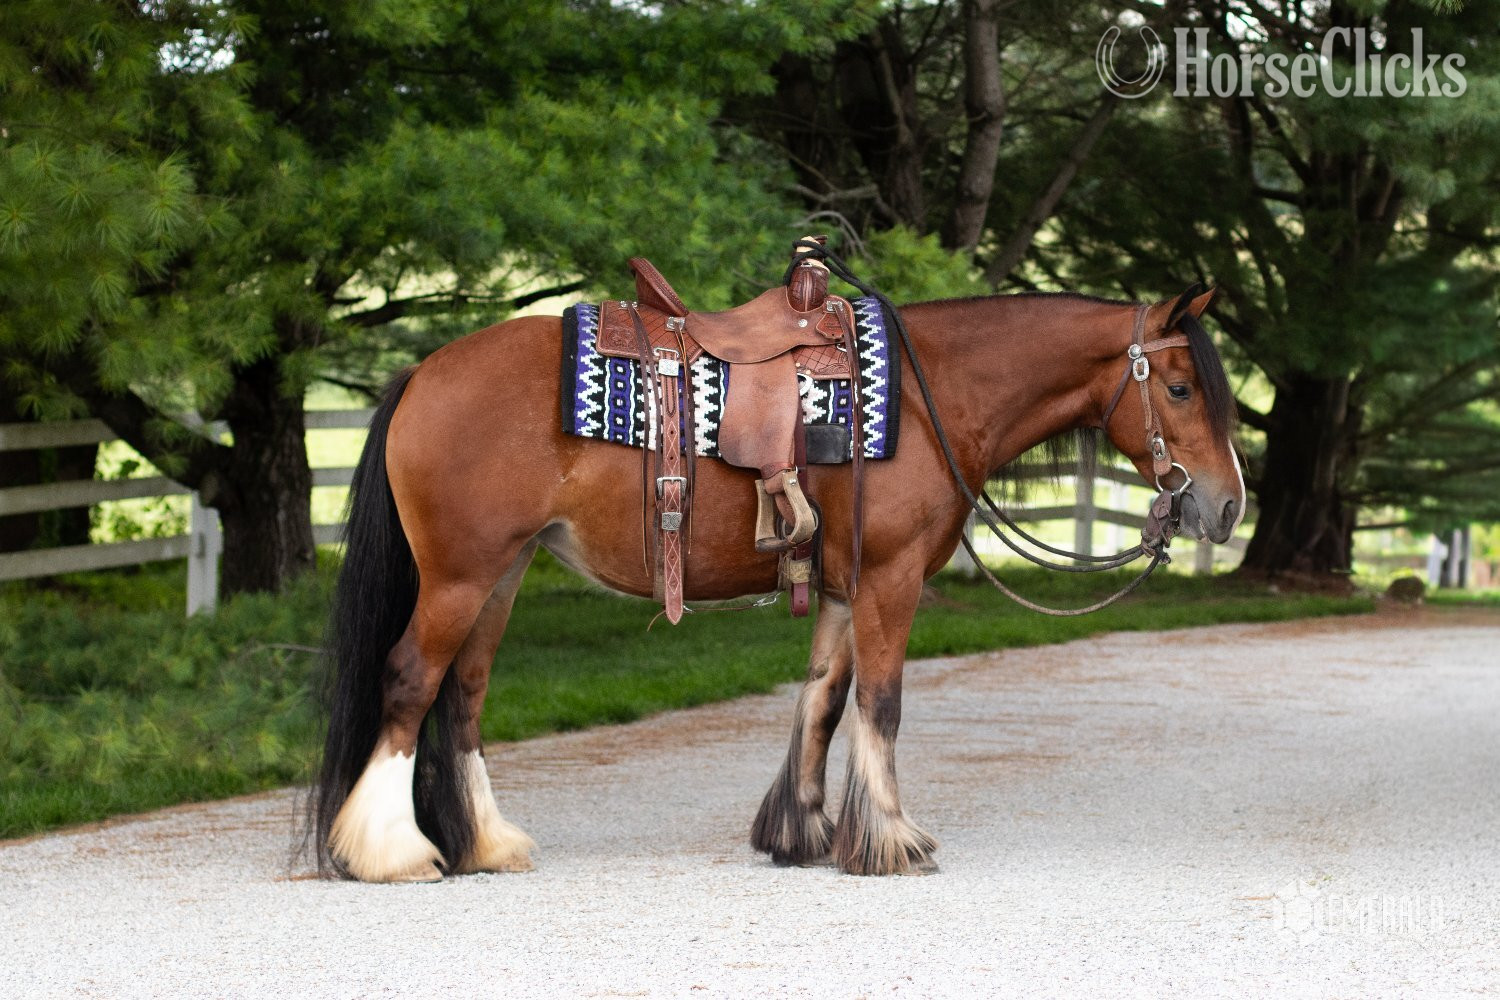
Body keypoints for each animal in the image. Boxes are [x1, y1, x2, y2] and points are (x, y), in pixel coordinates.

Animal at [312, 283, 1244, 882]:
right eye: (1180, 388)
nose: (1227, 504)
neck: (925, 400)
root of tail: (422, 375)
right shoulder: (889, 581)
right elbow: (880, 705)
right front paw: (890, 842)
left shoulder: (840, 587)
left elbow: (822, 700)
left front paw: (801, 832)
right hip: (459, 578)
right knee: (410, 681)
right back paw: (392, 852)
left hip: (501, 575)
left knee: (464, 695)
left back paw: (485, 844)